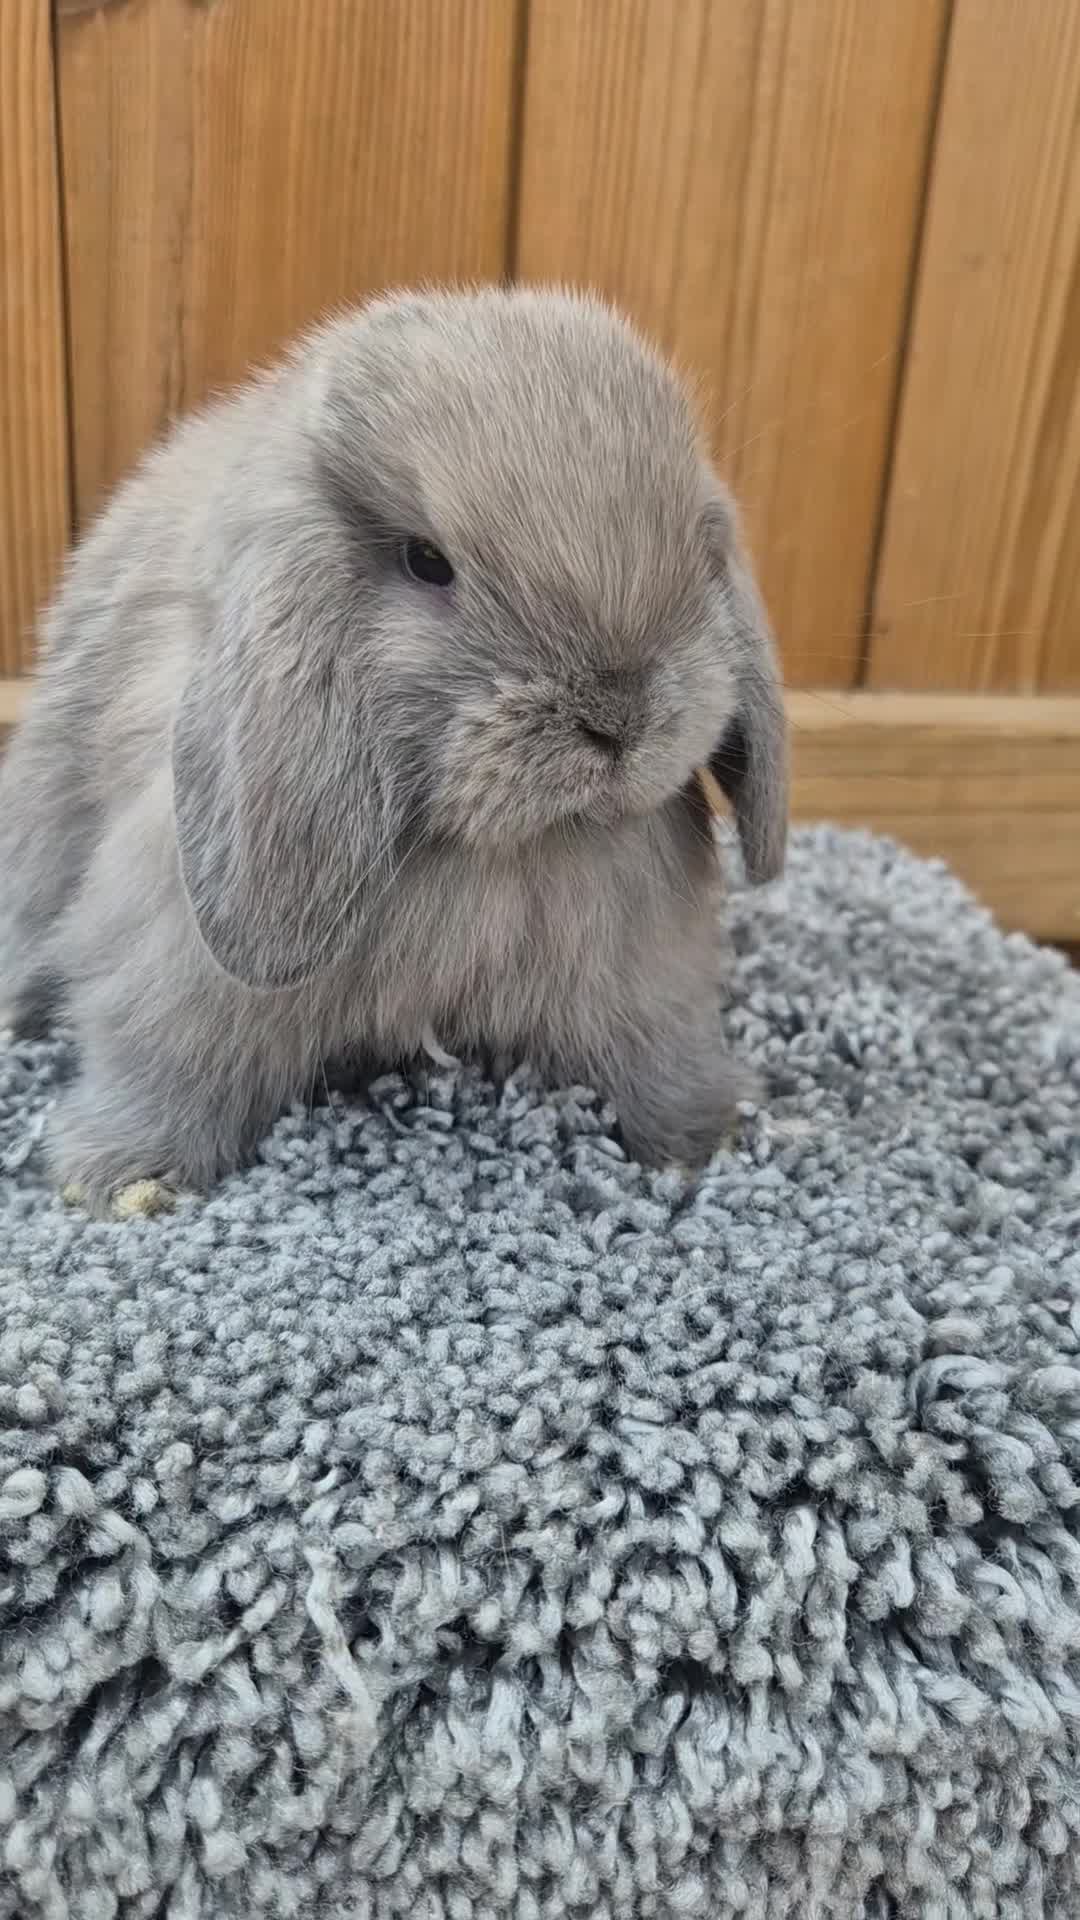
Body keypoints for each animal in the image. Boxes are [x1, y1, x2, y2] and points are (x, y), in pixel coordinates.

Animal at [0, 286, 788, 1210]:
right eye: (427, 562)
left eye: (699, 547)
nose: (619, 718)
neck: (492, 850)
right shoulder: (175, 961)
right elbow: (168, 1060)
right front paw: (124, 1176)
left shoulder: (644, 976)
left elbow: (658, 1053)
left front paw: (705, 1137)